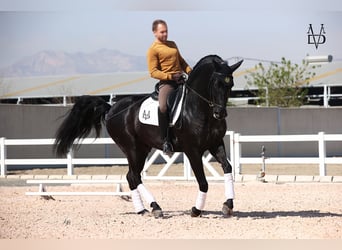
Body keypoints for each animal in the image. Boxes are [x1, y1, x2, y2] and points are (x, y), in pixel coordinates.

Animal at [54, 54, 242, 217]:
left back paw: (143, 209)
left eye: (230, 85)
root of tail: (111, 108)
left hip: (142, 149)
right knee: (134, 176)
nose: (220, 113)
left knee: (131, 176)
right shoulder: (192, 151)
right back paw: (155, 208)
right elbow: (203, 181)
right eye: (215, 83)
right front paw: (196, 210)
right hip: (132, 148)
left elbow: (228, 168)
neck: (199, 109)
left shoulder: (215, 143)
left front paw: (228, 205)